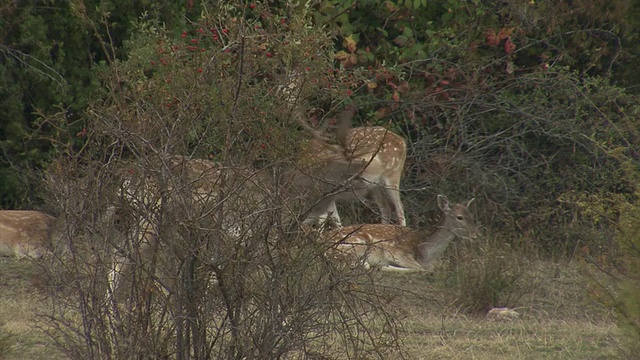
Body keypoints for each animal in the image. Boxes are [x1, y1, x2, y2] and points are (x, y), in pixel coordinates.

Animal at [324, 195, 476, 272]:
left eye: (471, 216)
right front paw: (384, 266)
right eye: (459, 217)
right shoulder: (398, 253)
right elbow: (420, 268)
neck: (424, 253)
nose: (474, 235)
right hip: (357, 243)